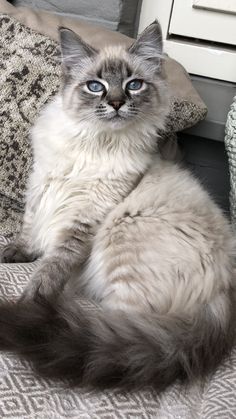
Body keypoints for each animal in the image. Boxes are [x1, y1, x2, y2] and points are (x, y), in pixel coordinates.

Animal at [0, 22, 234, 390]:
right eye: (95, 86)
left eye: (133, 85)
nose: (115, 103)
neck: (95, 143)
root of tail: (225, 293)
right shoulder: (42, 186)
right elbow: (29, 227)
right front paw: (17, 252)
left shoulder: (85, 218)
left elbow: (52, 265)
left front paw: (32, 298)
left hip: (122, 243)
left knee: (113, 332)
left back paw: (56, 324)